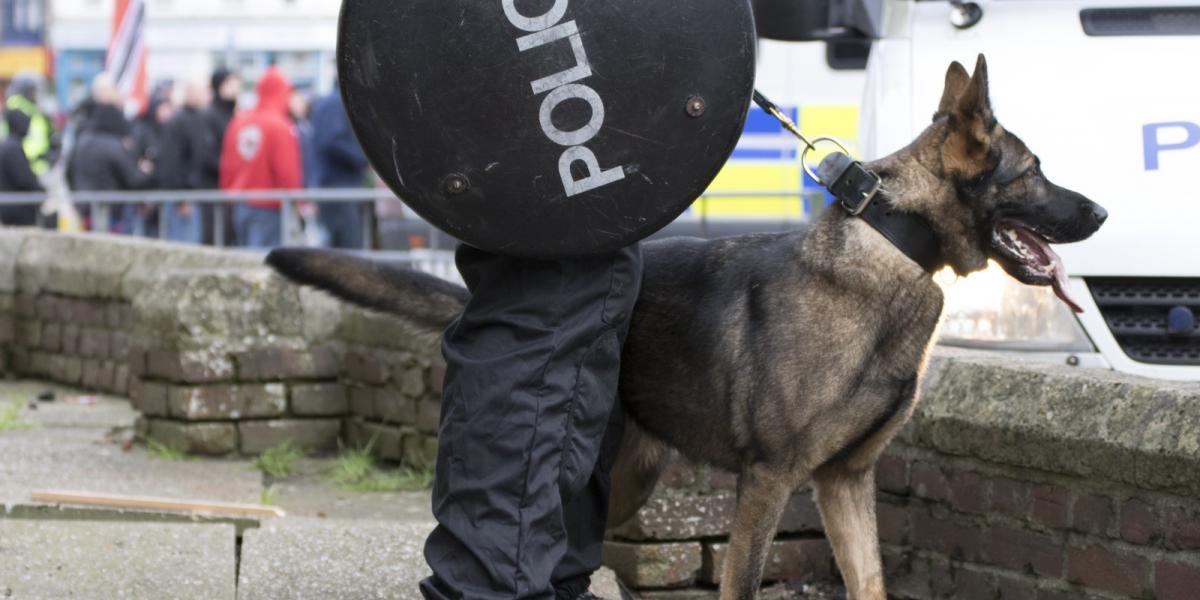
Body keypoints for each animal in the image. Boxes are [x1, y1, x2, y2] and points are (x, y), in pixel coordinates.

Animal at [270, 54, 1104, 597]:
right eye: (1034, 171)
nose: (1099, 212)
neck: (893, 243)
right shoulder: (768, 481)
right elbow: (742, 587)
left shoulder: (844, 482)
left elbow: (869, 583)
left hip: (630, 478)